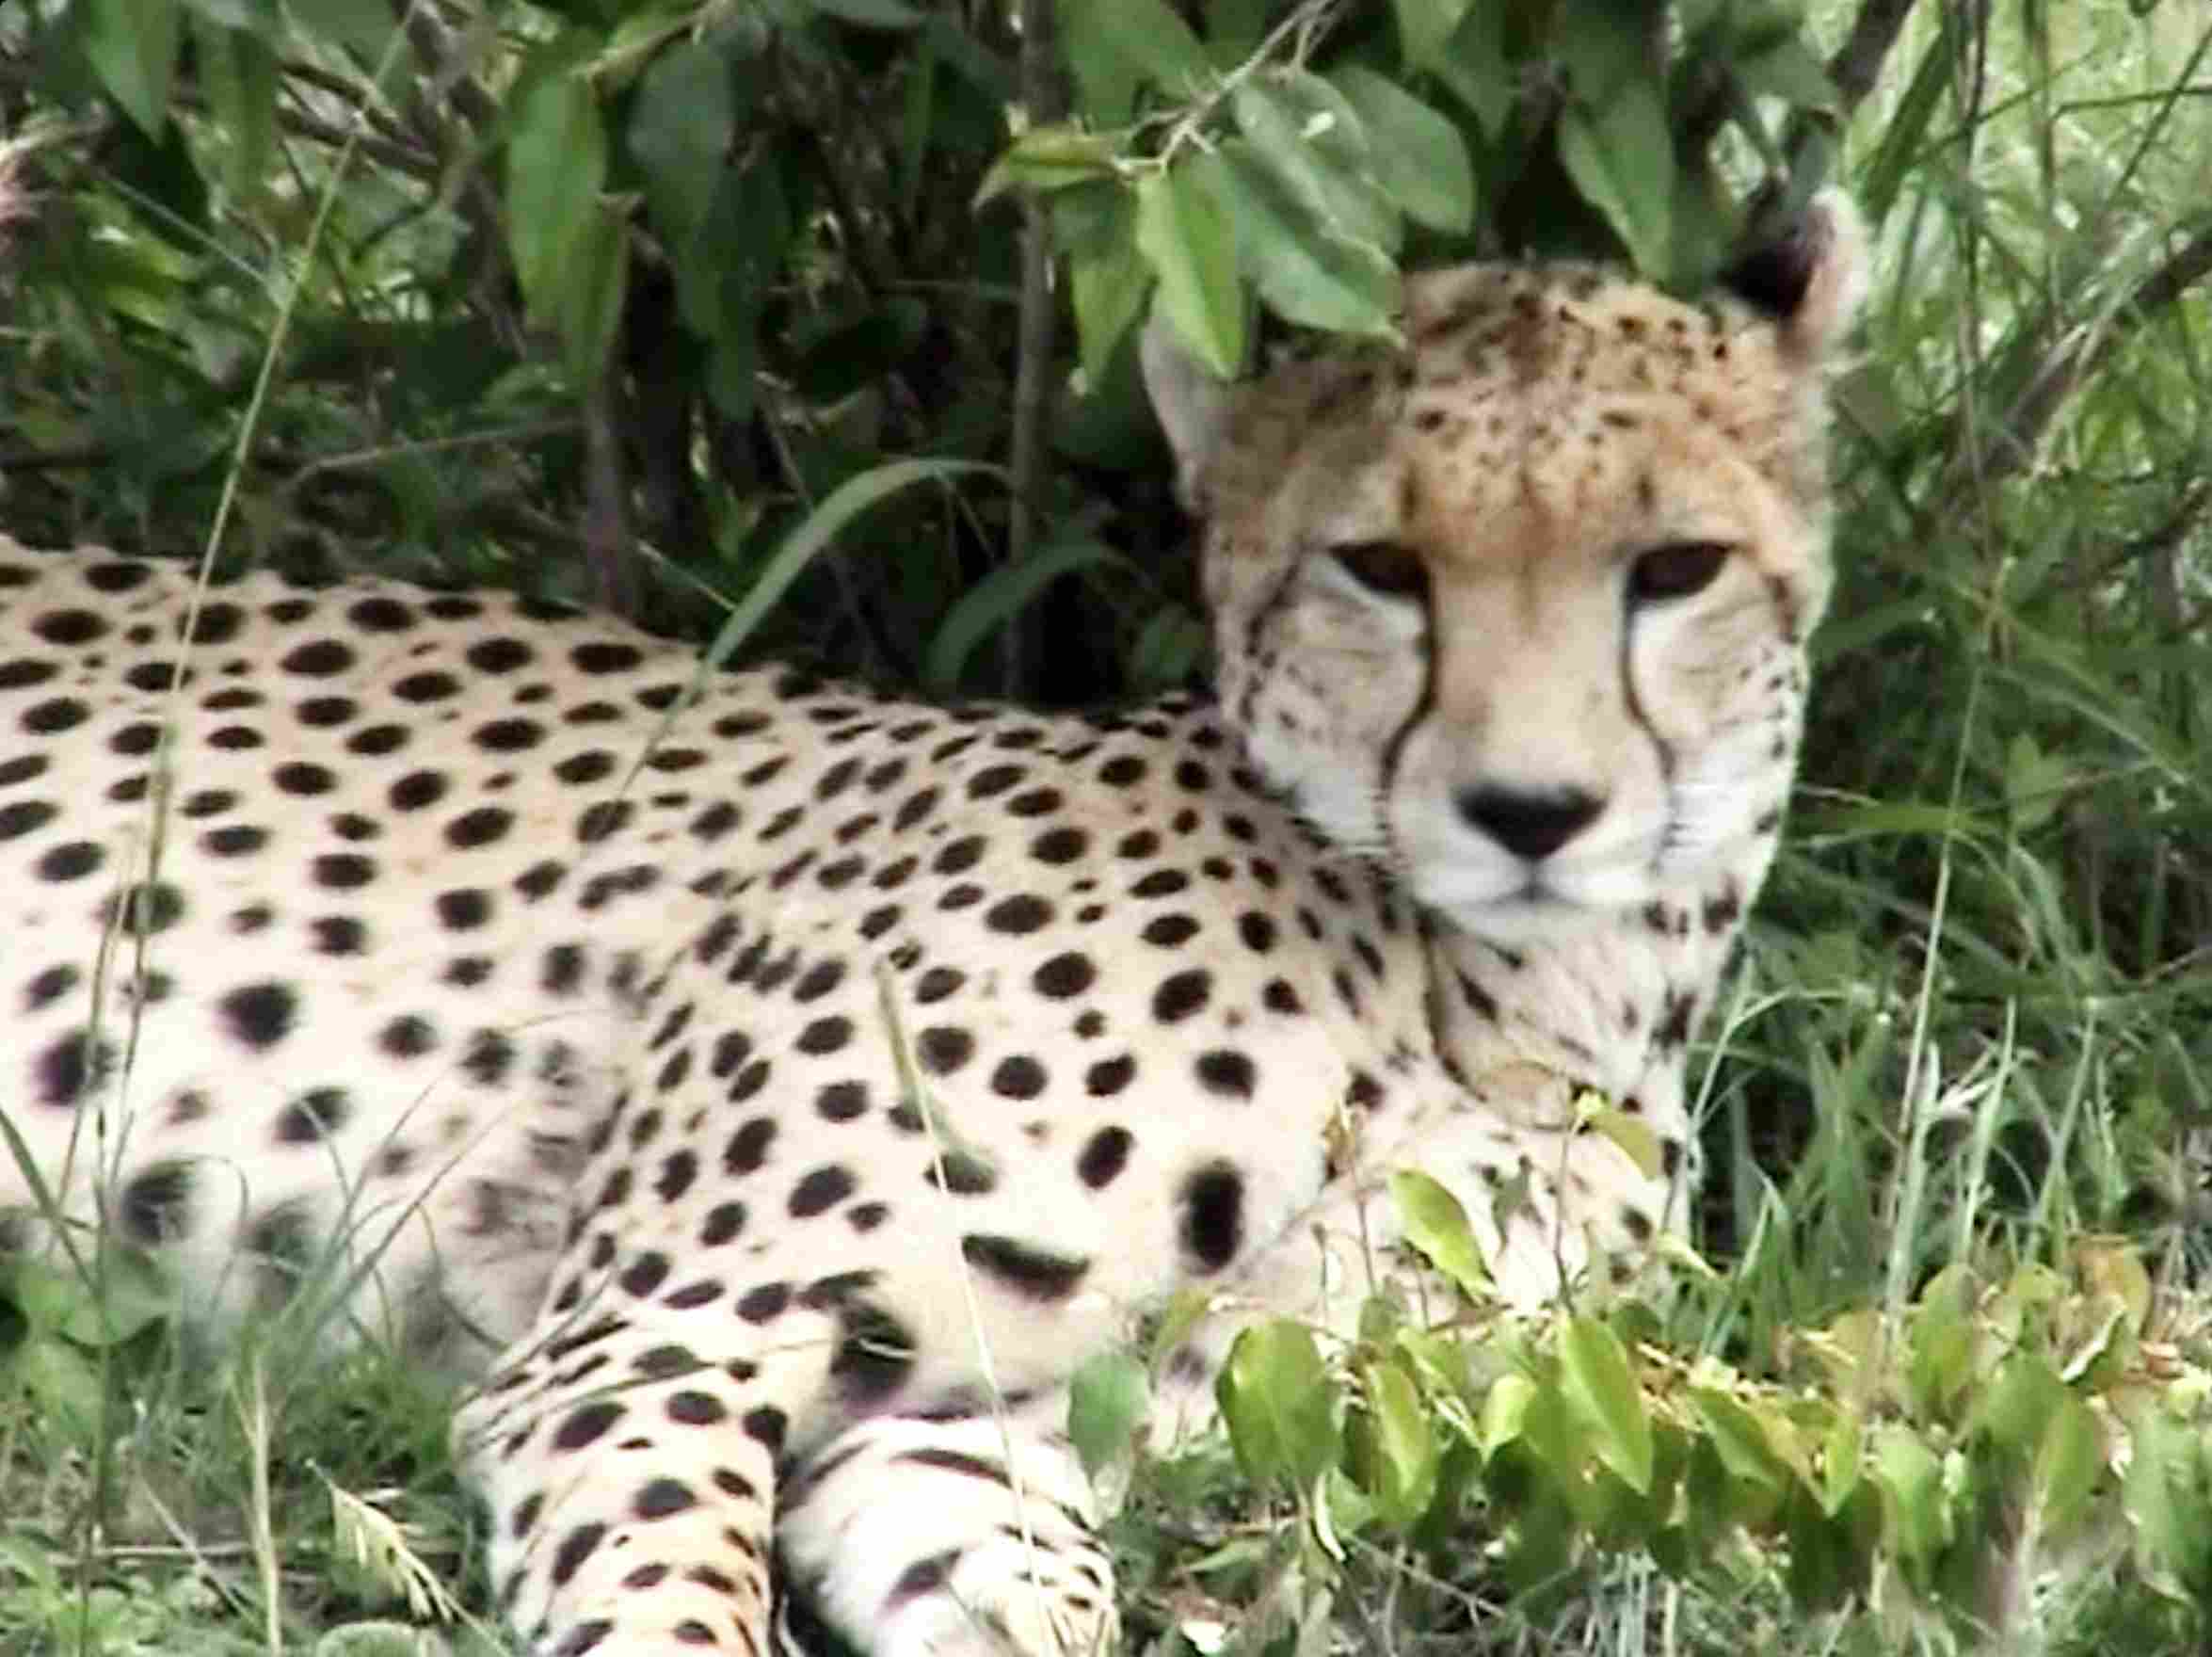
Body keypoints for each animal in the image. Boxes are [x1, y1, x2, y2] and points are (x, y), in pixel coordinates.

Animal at [0, 192, 1867, 1656]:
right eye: (1381, 569)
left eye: (1675, 569)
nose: (1531, 812)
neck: (1503, 999)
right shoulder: (645, 1336)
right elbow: (677, 1598)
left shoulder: (979, 1429)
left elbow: (1030, 1585)